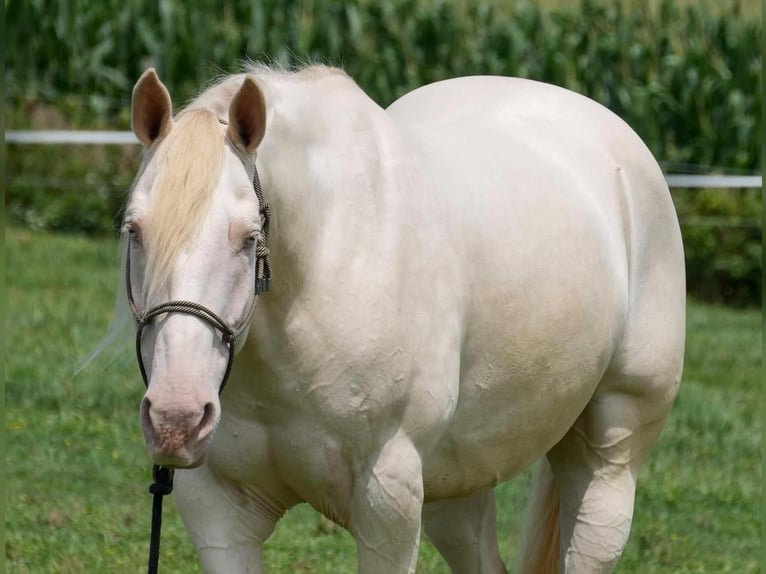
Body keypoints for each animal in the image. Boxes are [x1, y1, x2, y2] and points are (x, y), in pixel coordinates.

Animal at [123, 64, 688, 574]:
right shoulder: (218, 509)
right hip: (455, 481)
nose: (176, 418)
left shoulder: (387, 500)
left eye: (247, 238)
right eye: (134, 230)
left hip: (612, 449)